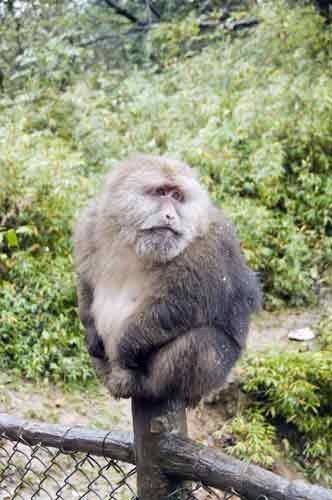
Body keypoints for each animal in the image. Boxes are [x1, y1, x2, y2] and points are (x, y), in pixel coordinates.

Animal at [74, 154, 260, 408]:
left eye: (178, 196)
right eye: (161, 192)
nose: (171, 216)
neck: (134, 242)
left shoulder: (209, 246)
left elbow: (181, 305)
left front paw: (126, 346)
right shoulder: (89, 226)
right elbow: (86, 283)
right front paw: (92, 334)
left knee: (203, 343)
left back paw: (144, 386)